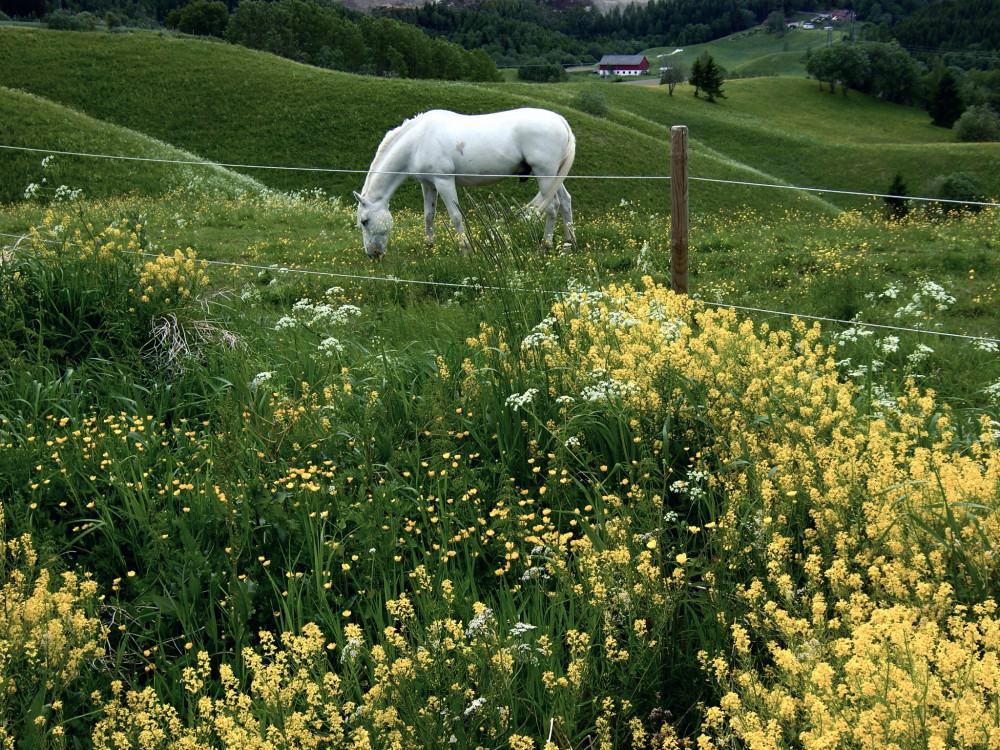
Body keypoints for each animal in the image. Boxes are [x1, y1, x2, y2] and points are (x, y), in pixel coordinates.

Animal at [356, 104, 580, 260]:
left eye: (365, 221)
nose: (372, 254)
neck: (418, 141)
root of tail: (560, 120)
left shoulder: (444, 182)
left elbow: (455, 217)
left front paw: (465, 250)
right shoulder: (428, 185)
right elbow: (429, 216)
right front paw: (428, 247)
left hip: (545, 174)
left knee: (552, 207)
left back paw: (544, 247)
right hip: (554, 177)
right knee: (566, 202)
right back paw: (569, 244)